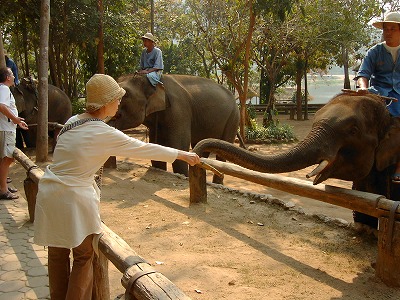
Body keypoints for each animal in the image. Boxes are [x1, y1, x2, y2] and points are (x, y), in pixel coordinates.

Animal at [111, 74, 239, 182]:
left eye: (125, 94)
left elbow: (179, 146)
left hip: (233, 118)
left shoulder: (179, 110)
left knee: (222, 152)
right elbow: (157, 148)